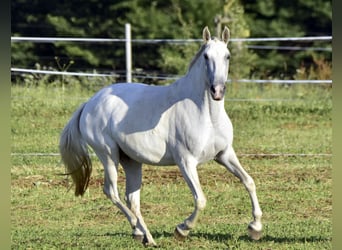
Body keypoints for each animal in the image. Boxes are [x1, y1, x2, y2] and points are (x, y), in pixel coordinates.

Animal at [59, 25, 262, 246]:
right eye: (206, 56)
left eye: (227, 56)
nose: (217, 91)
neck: (206, 114)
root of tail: (90, 103)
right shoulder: (186, 161)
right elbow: (200, 200)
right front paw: (182, 229)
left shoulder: (224, 154)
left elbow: (249, 181)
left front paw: (255, 228)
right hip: (108, 155)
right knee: (112, 192)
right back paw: (137, 228)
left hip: (131, 161)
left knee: (132, 199)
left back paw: (145, 237)